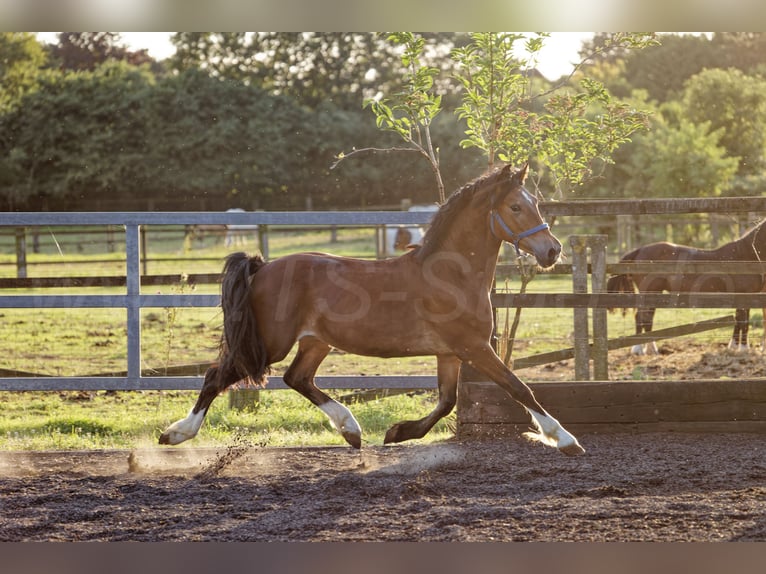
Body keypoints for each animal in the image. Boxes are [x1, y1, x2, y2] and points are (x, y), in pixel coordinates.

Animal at [159, 163, 584, 456]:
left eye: (535, 203)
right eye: (515, 206)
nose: (552, 251)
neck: (450, 274)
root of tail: (263, 267)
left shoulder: (450, 352)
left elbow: (446, 402)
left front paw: (397, 432)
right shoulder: (474, 347)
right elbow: (519, 388)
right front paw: (565, 439)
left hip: (316, 342)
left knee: (298, 378)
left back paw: (351, 430)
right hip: (271, 343)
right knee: (217, 376)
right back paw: (175, 434)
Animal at [607, 220, 766, 354]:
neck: (745, 255)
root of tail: (639, 250)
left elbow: (738, 320)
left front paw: (733, 347)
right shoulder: (745, 295)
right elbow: (744, 322)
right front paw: (744, 349)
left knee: (647, 318)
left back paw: (651, 349)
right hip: (649, 291)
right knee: (641, 316)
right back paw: (638, 349)